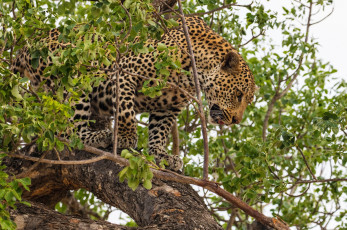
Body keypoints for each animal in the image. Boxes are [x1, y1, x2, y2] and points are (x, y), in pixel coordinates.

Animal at [12, 17, 256, 171]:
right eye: (238, 95)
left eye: (246, 99)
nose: (236, 120)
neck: (195, 71)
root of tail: (26, 47)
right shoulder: (124, 72)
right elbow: (126, 110)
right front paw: (126, 138)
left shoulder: (168, 107)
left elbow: (159, 131)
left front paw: (161, 155)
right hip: (73, 73)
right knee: (71, 130)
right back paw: (100, 136)